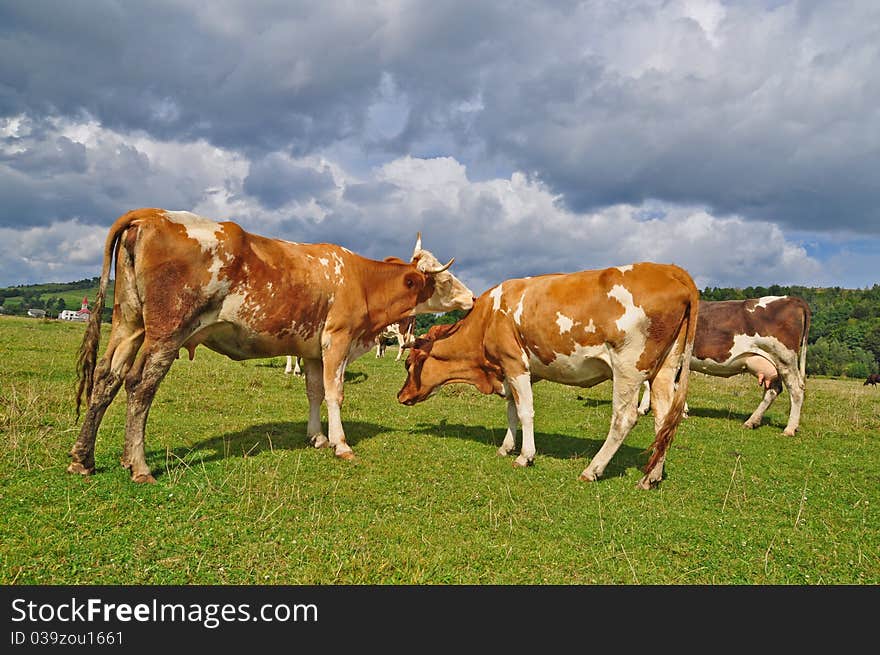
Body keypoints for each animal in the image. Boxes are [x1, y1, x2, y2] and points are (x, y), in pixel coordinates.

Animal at [69, 210, 474, 482]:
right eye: (445, 279)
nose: (471, 298)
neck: (359, 280)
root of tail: (153, 214)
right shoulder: (337, 339)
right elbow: (334, 393)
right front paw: (341, 444)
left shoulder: (311, 349)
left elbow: (313, 392)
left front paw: (317, 437)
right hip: (167, 333)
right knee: (140, 386)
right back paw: (138, 465)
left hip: (129, 324)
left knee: (106, 378)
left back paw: (83, 459)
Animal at [396, 264, 696, 490]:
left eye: (409, 363)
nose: (400, 395)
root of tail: (669, 269)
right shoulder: (510, 371)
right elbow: (512, 410)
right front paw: (506, 447)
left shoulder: (515, 363)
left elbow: (525, 411)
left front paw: (525, 456)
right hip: (665, 368)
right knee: (664, 419)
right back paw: (651, 476)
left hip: (628, 367)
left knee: (624, 418)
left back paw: (593, 469)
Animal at [632, 298, 812, 436]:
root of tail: (793, 299)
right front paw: (682, 410)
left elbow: (649, 383)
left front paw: (643, 408)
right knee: (773, 390)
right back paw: (752, 421)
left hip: (785, 360)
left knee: (796, 391)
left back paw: (789, 428)